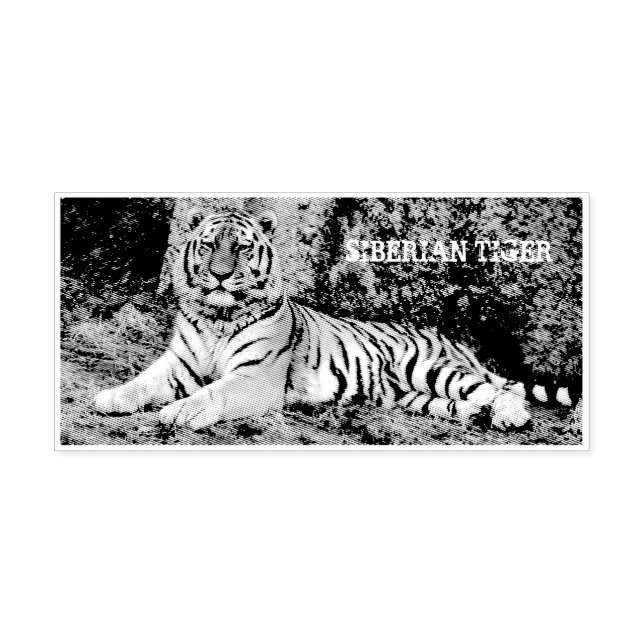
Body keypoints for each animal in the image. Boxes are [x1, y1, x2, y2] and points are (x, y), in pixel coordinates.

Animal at [94, 208, 577, 431]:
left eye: (242, 248)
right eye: (211, 244)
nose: (220, 275)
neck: (219, 315)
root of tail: (458, 342)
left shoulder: (254, 378)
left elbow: (211, 394)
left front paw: (176, 412)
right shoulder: (177, 364)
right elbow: (141, 382)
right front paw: (110, 398)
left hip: (431, 368)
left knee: (505, 388)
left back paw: (509, 418)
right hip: (410, 396)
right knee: (468, 400)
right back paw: (476, 415)